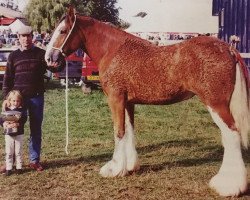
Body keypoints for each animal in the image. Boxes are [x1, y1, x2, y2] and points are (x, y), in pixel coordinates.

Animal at [45, 6, 250, 197]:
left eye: (62, 31)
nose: (49, 59)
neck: (113, 50)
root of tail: (228, 48)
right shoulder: (128, 102)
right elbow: (129, 130)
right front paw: (130, 166)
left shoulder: (115, 99)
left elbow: (119, 132)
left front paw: (114, 168)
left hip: (216, 104)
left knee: (231, 134)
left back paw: (228, 186)